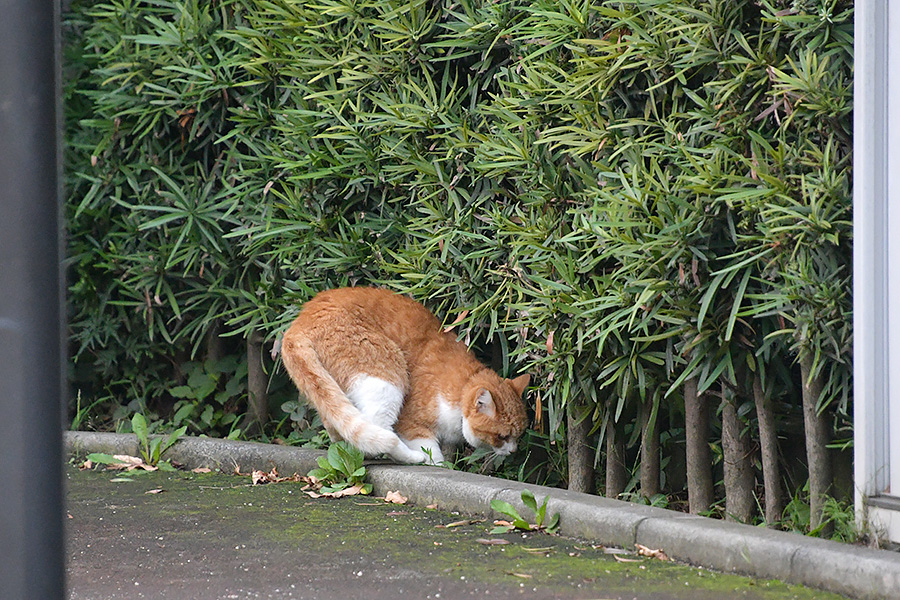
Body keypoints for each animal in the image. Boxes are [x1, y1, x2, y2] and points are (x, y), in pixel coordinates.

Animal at [284, 288, 528, 466]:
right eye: (503, 436)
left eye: (519, 435)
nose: (514, 450)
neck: (461, 388)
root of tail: (299, 323)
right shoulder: (412, 424)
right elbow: (432, 452)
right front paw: (436, 464)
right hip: (387, 377)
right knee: (378, 429)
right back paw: (410, 458)